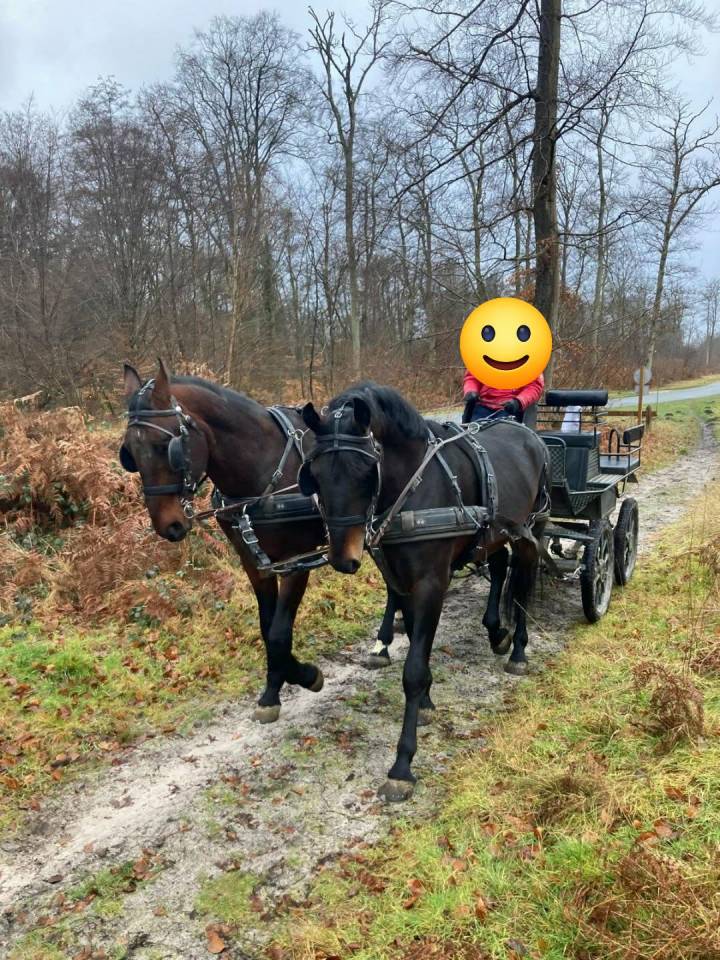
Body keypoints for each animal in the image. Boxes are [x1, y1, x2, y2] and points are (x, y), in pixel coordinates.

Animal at [119, 360, 400, 723]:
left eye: (164, 447)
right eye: (130, 452)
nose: (169, 526)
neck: (263, 472)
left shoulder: (297, 561)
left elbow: (279, 634)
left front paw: (304, 676)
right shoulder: (255, 563)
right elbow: (268, 629)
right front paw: (274, 688)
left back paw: (383, 642)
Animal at [299, 382, 551, 801]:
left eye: (366, 471)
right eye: (314, 474)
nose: (343, 558)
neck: (414, 487)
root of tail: (529, 434)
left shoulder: (432, 583)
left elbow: (413, 670)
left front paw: (403, 764)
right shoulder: (402, 580)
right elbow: (418, 641)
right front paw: (428, 701)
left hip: (533, 527)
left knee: (523, 583)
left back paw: (518, 648)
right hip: (494, 533)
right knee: (500, 567)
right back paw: (496, 631)